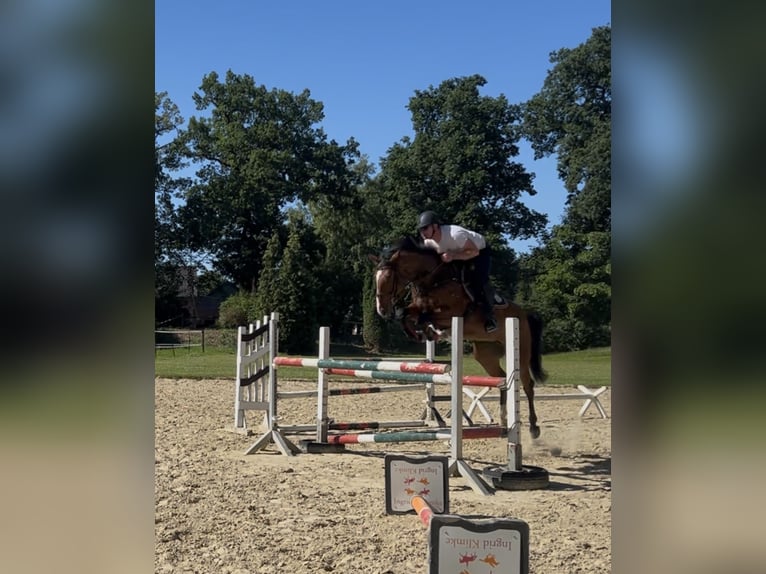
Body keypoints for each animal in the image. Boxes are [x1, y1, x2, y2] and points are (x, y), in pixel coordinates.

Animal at [369, 236, 547, 438]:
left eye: (388, 277)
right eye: (375, 278)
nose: (382, 310)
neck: (434, 281)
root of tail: (524, 314)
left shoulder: (452, 313)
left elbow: (423, 316)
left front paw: (430, 332)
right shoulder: (417, 307)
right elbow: (405, 314)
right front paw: (418, 333)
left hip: (521, 351)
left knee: (527, 384)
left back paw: (534, 428)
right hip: (485, 354)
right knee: (501, 378)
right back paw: (504, 418)